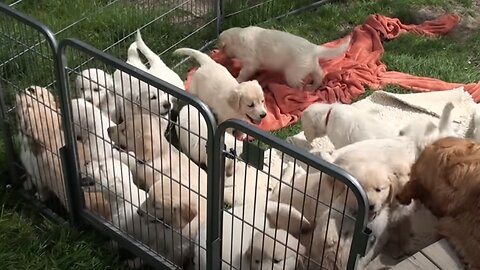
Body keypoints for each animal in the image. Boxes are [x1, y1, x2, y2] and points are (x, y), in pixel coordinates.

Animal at [217, 25, 348, 89]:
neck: (237, 37)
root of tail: (313, 47)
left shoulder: (250, 62)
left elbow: (244, 72)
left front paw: (237, 79)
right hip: (311, 65)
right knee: (319, 74)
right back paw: (312, 87)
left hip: (293, 73)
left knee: (299, 85)